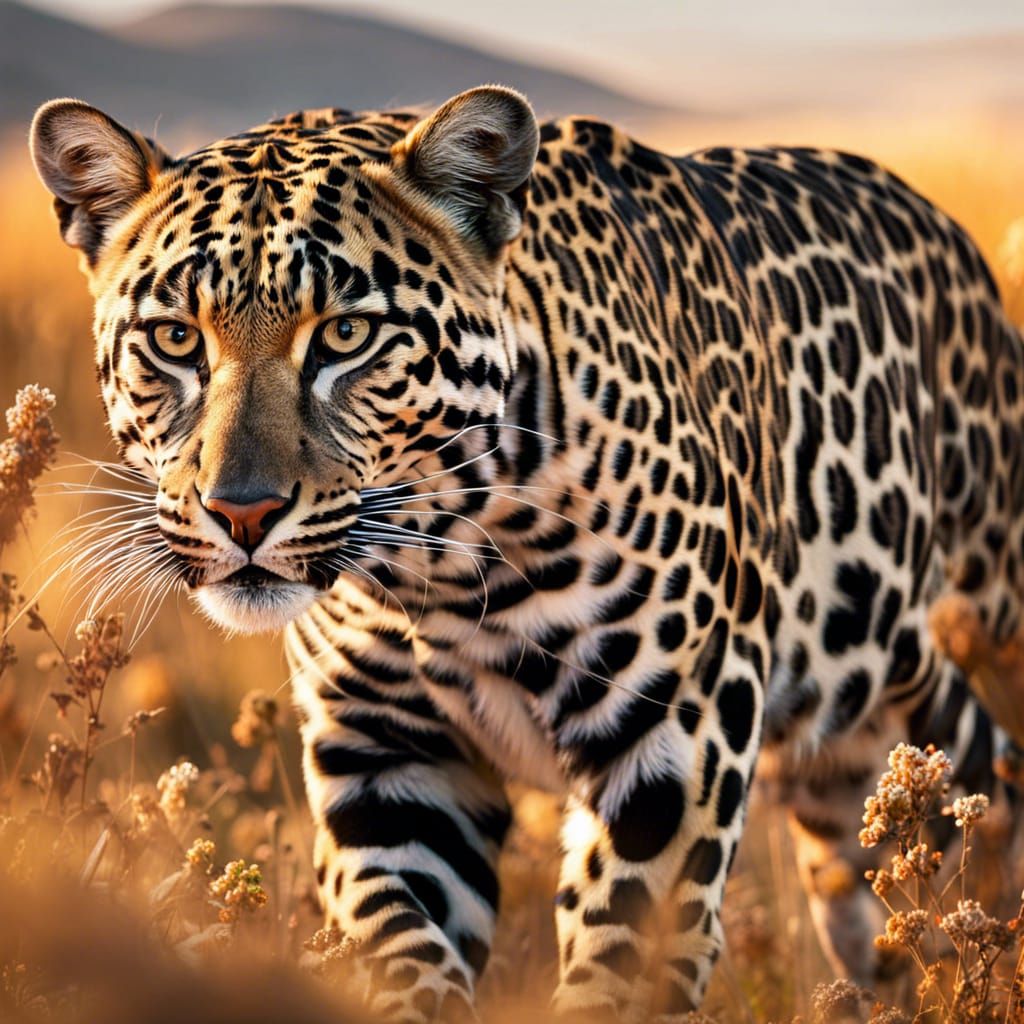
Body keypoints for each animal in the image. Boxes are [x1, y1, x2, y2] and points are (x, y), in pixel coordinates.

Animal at [29, 85, 1024, 1021]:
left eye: (346, 335)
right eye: (175, 339)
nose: (243, 512)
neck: (437, 566)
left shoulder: (670, 746)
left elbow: (620, 964)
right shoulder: (389, 763)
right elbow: (405, 952)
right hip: (849, 762)